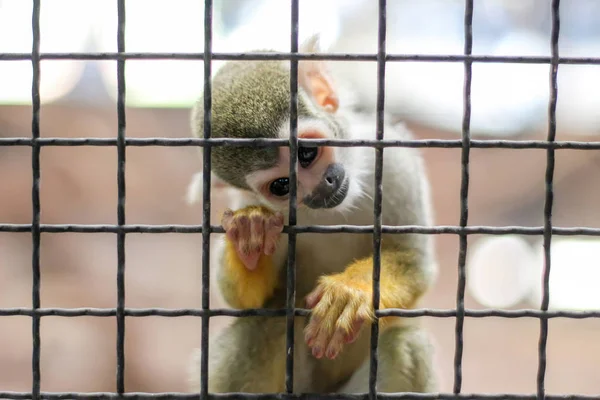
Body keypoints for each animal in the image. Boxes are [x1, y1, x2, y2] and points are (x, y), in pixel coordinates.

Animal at [190, 36, 438, 394]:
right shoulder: (244, 198)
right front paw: (252, 229)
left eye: (307, 153)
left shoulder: (394, 162)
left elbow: (414, 260)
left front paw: (351, 291)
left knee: (405, 341)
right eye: (281, 185)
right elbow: (244, 301)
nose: (323, 186)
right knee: (268, 323)